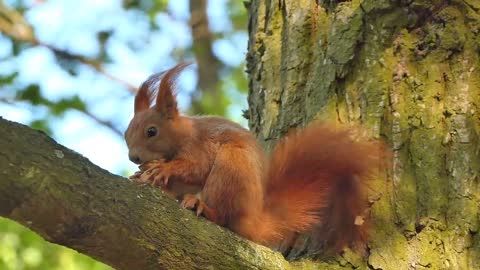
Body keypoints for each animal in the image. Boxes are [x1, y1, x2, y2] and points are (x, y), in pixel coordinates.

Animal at [124, 62, 382, 251]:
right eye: (126, 134)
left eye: (151, 131)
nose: (133, 158)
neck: (183, 134)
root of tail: (253, 220)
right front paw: (143, 175)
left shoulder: (200, 145)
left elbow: (197, 167)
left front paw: (163, 169)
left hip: (231, 169)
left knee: (223, 217)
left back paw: (203, 207)